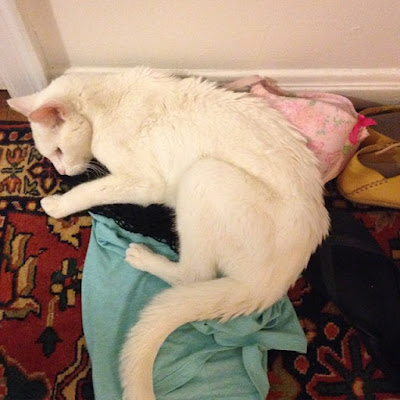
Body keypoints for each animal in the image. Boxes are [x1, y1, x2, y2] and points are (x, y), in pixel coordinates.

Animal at [8, 67, 330, 400]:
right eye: (51, 155)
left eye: (59, 150)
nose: (61, 173)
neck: (106, 99)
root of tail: (272, 283)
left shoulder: (144, 183)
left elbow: (90, 191)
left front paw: (58, 204)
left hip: (202, 175)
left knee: (195, 275)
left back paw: (142, 256)